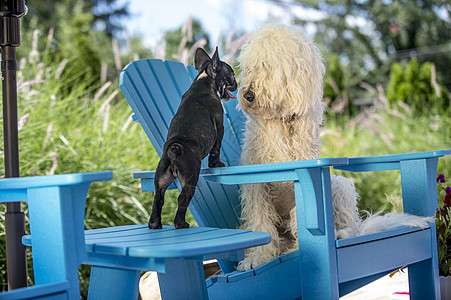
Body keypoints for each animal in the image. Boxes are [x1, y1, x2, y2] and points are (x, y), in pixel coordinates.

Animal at [237, 24, 430, 270]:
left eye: (268, 66)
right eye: (250, 67)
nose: (247, 95)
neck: (283, 123)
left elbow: (300, 215)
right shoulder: (256, 185)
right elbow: (260, 220)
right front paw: (256, 258)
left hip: (339, 186)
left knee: (349, 223)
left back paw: (340, 234)